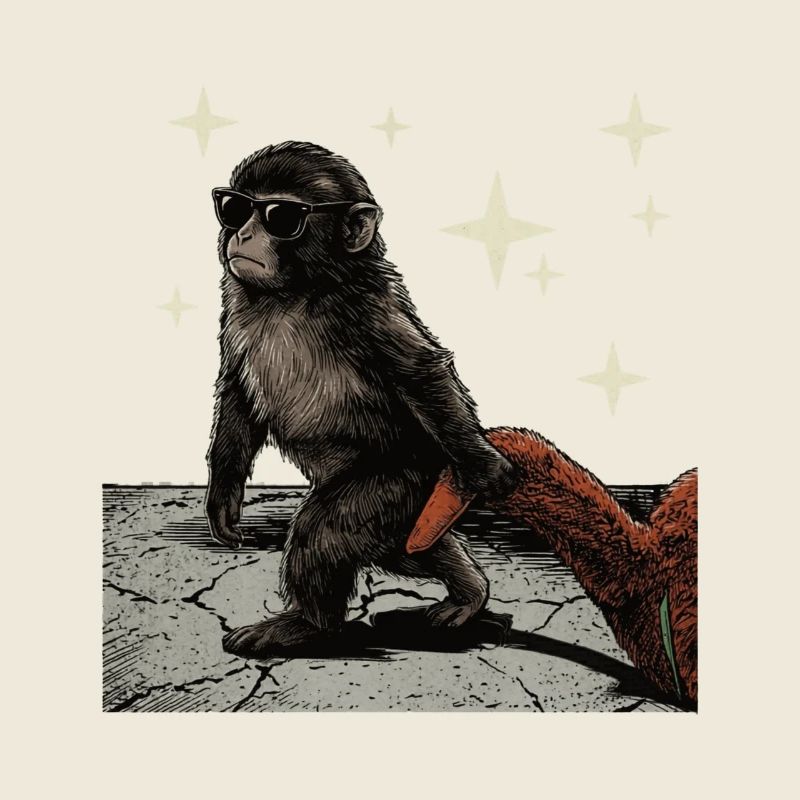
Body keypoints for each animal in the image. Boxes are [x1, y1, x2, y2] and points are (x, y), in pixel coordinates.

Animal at [205, 142, 517, 656]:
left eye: (281, 216)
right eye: (234, 208)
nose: (244, 232)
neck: (296, 293)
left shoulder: (369, 312)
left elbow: (420, 372)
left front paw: (483, 465)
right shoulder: (237, 308)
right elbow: (237, 394)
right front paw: (224, 495)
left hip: (402, 483)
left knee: (326, 532)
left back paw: (308, 625)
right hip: (412, 510)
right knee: (409, 547)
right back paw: (468, 589)